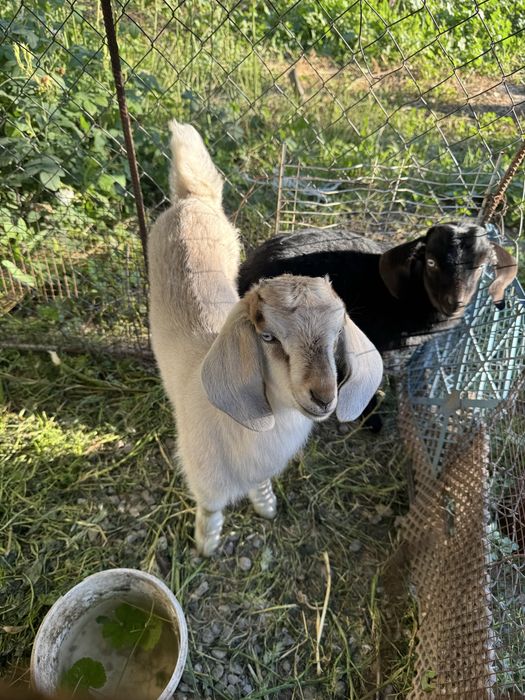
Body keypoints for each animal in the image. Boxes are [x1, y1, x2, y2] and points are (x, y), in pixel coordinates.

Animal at [148, 123, 383, 556]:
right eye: (268, 336)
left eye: (336, 333)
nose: (323, 396)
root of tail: (192, 197)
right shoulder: (205, 480)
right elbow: (211, 510)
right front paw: (207, 544)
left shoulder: (259, 467)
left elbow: (259, 485)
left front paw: (266, 506)